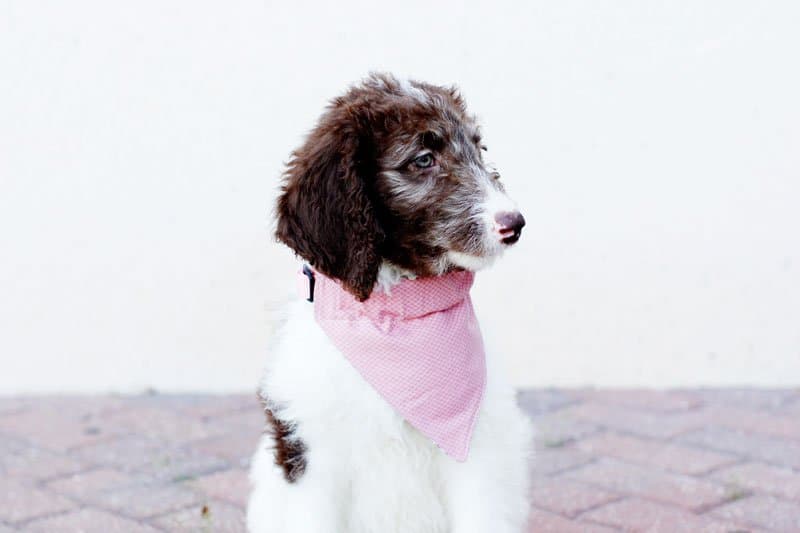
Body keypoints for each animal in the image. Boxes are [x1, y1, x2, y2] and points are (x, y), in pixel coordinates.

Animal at [247, 74, 536, 532]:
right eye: (423, 159)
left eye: (479, 148)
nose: (515, 224)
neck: (394, 315)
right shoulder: (310, 453)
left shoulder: (480, 454)